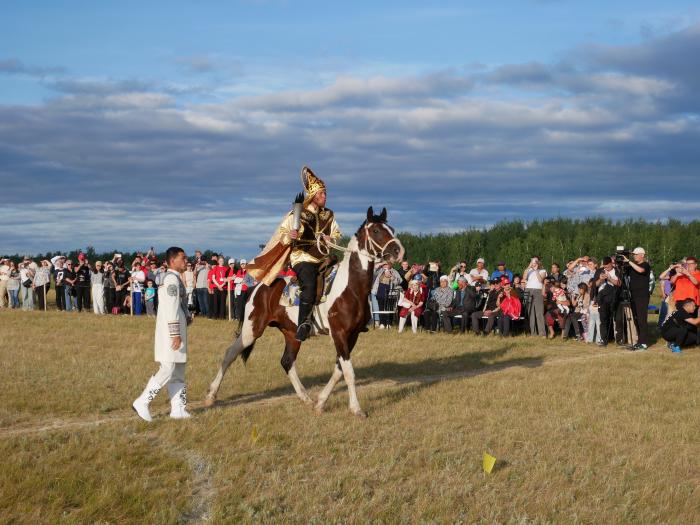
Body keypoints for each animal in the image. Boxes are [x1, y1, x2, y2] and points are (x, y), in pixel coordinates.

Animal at [202, 207, 404, 416]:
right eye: (376, 231)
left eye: (391, 229)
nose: (398, 251)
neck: (351, 287)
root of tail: (258, 286)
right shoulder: (339, 334)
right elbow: (348, 372)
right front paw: (356, 409)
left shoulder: (352, 335)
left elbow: (339, 370)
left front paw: (321, 402)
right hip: (252, 329)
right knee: (230, 354)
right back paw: (211, 395)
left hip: (292, 334)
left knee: (287, 361)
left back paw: (305, 397)